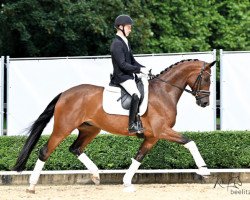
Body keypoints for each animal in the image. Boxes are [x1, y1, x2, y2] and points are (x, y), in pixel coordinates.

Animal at [13, 59, 216, 192]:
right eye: (207, 79)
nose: (204, 103)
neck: (164, 92)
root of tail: (65, 93)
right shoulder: (162, 131)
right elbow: (190, 142)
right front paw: (204, 170)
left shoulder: (152, 137)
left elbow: (139, 157)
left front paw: (126, 182)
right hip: (63, 128)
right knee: (45, 151)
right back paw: (31, 186)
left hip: (90, 129)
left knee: (75, 148)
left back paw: (96, 175)